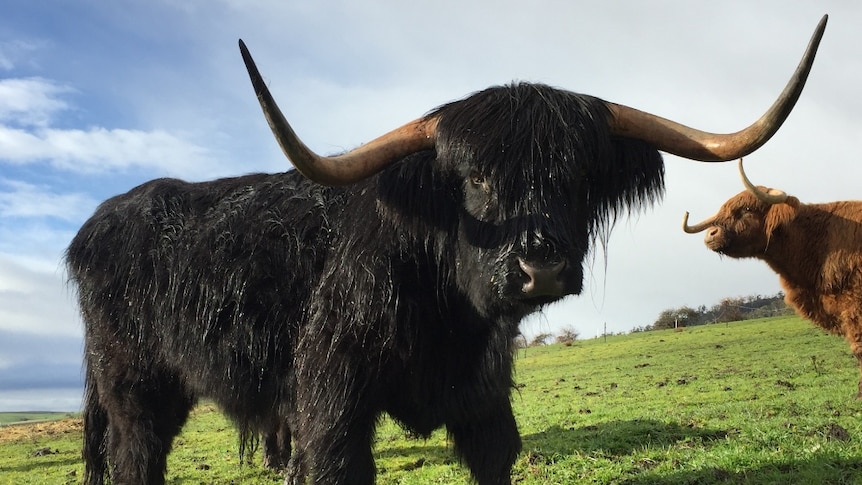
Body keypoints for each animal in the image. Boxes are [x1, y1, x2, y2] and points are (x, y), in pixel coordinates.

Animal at [69, 16, 832, 484]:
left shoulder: (484, 398)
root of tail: (100, 221)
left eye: (578, 179)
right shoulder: (332, 404)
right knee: (136, 457)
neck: (445, 311)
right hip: (136, 391)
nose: (540, 266)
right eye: (475, 177)